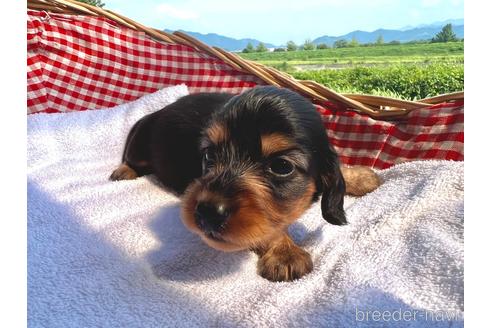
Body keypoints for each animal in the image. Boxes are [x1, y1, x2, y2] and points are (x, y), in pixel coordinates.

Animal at [110, 86, 380, 280]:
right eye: (209, 155)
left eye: (282, 166)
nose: (207, 212)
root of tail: (157, 111)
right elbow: (269, 229)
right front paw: (285, 253)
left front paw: (361, 177)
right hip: (139, 143)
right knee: (131, 159)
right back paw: (122, 171)